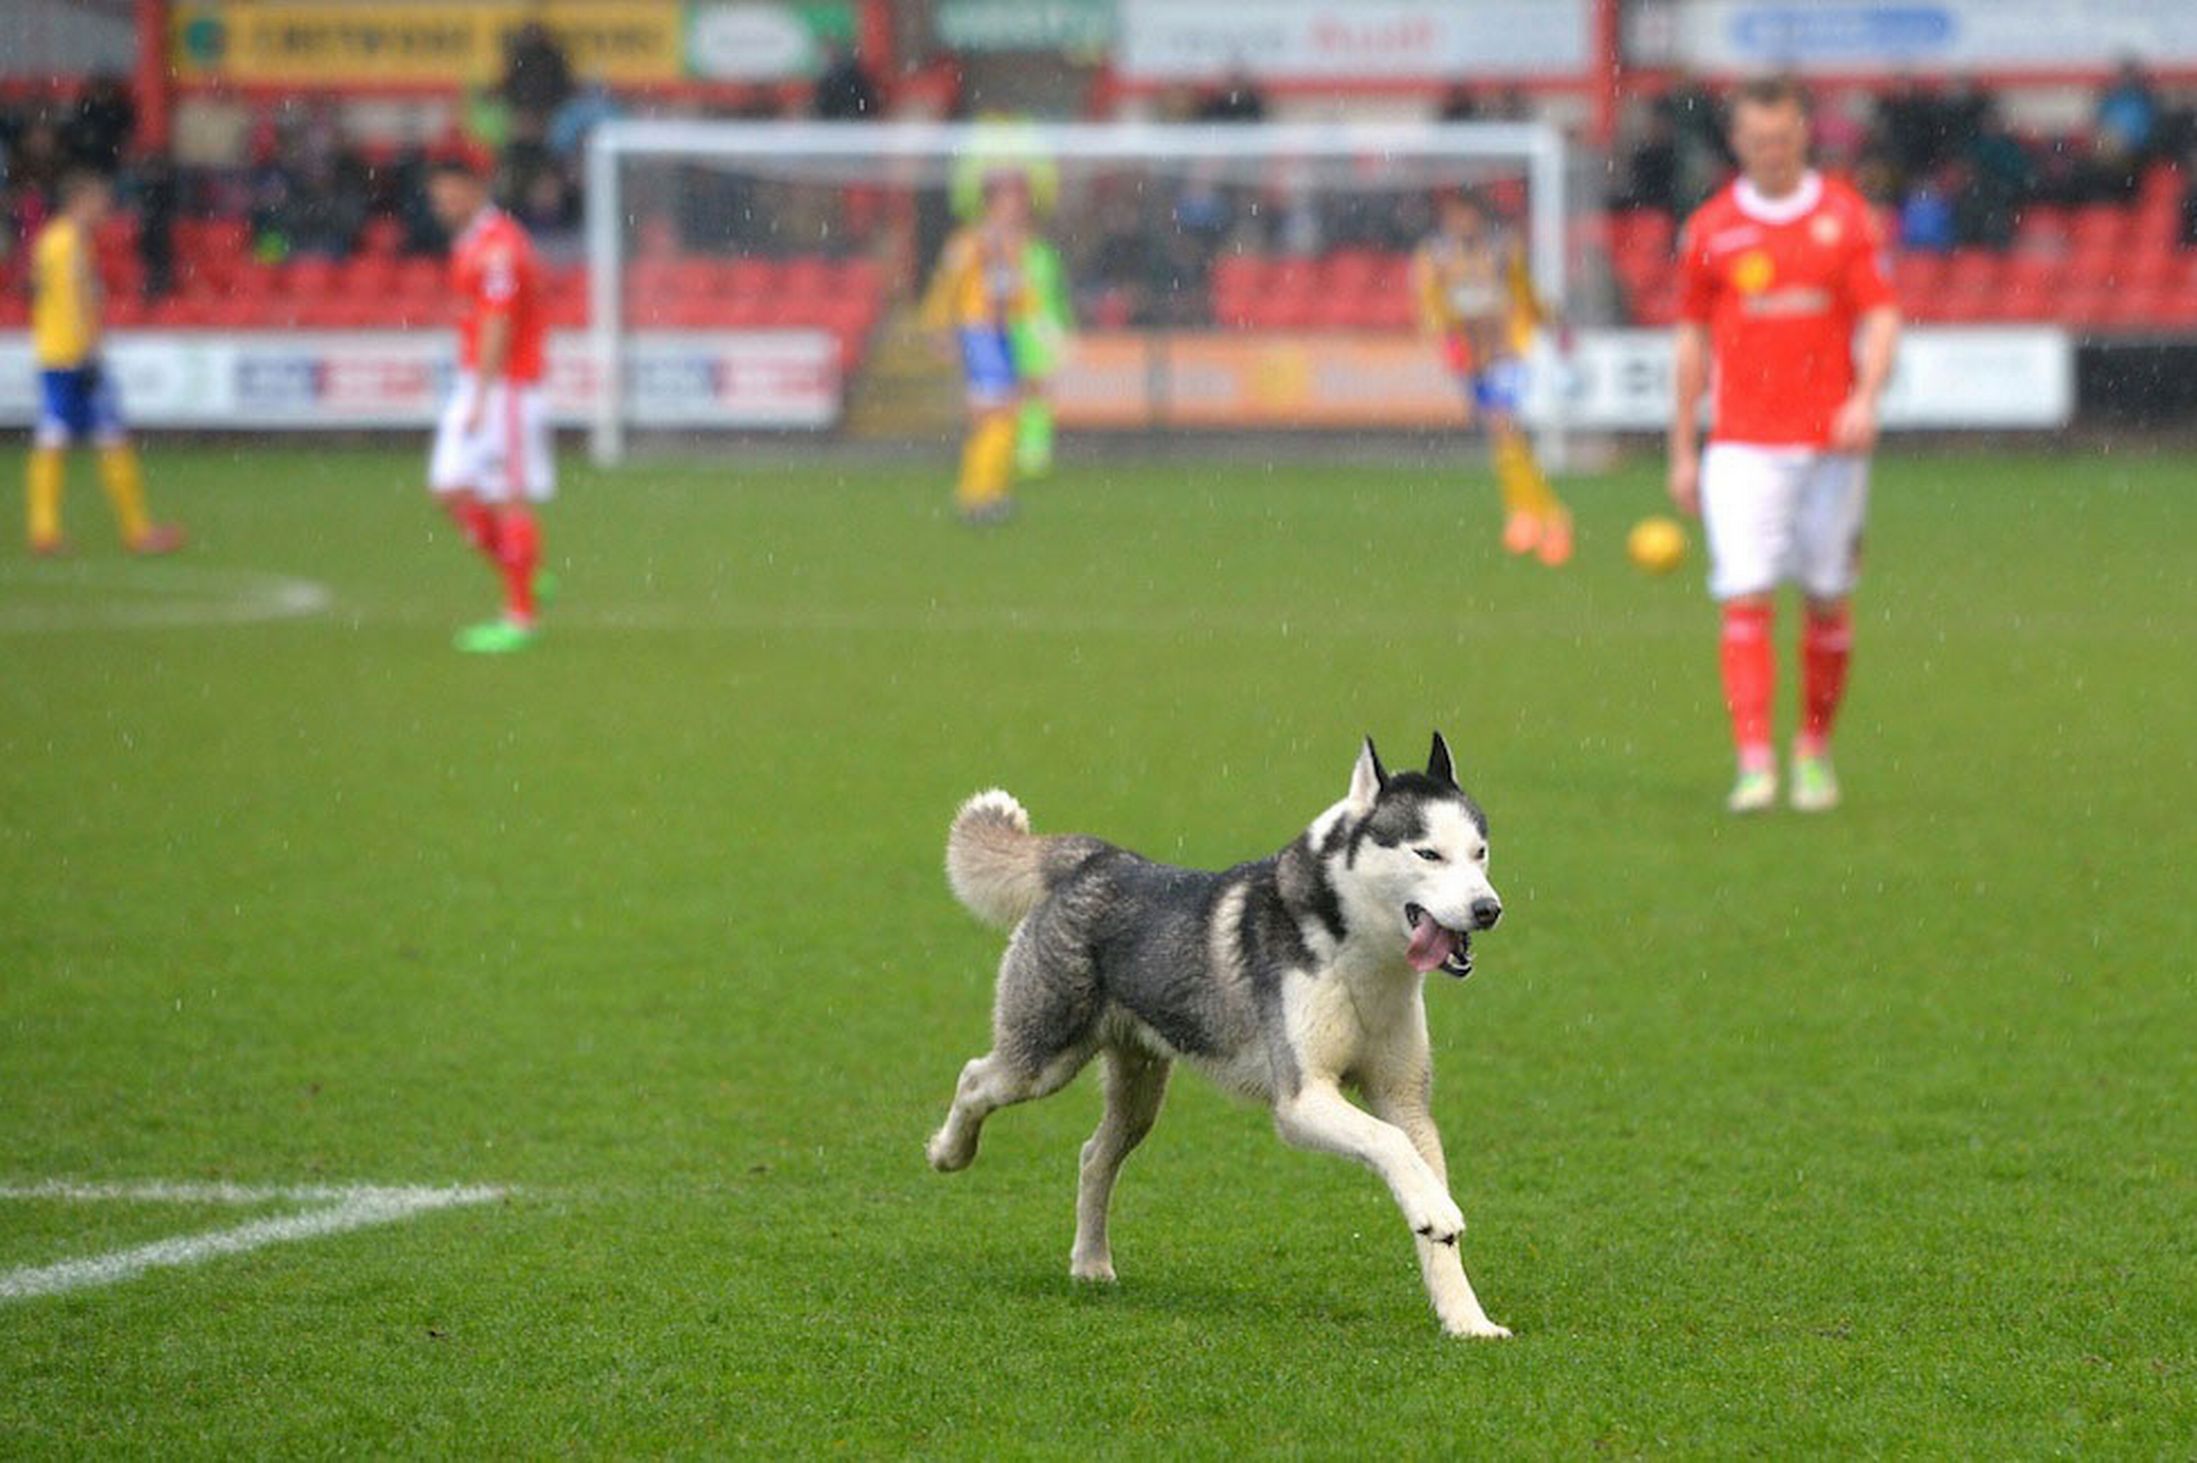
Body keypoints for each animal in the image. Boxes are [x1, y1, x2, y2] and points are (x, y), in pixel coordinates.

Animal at [922, 733, 1511, 1335]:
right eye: (1427, 853)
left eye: (1480, 852)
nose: (1488, 909)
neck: (1363, 962)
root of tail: (1093, 859)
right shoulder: (1301, 1101)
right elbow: (1388, 1143)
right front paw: (1436, 1213)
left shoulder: (1405, 1099)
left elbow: (1426, 1196)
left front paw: (1468, 1321)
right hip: (1044, 1059)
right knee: (974, 1078)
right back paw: (949, 1154)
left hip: (1139, 1092)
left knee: (1094, 1156)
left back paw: (1091, 1265)